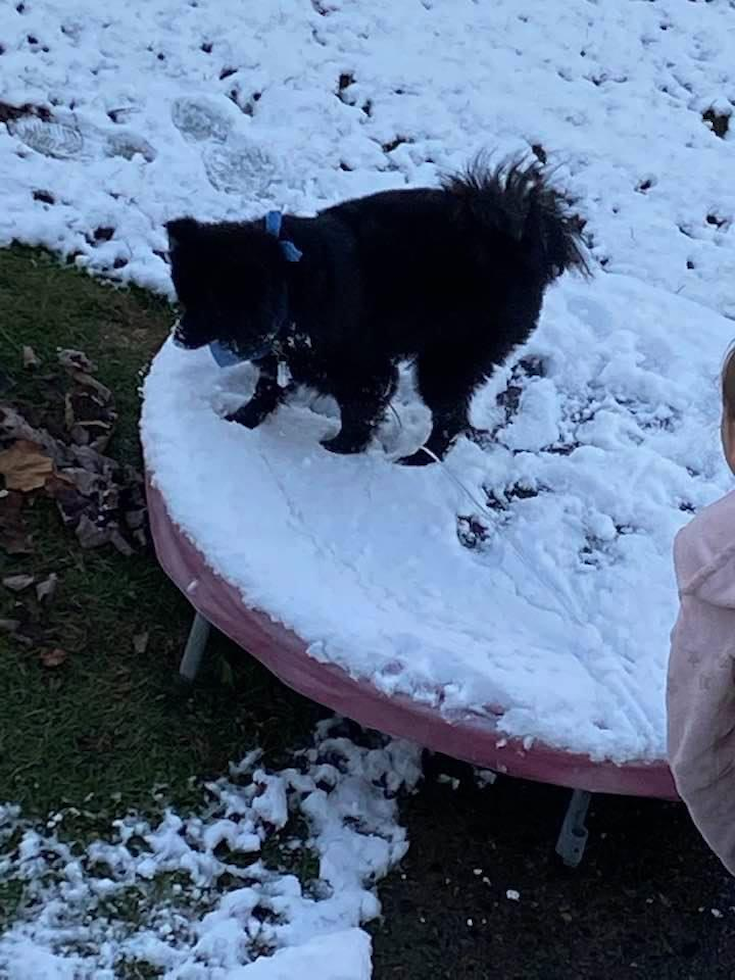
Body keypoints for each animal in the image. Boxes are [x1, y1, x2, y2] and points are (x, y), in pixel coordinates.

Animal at [165, 159, 588, 466]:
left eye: (214, 305)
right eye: (185, 299)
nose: (180, 336)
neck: (292, 287)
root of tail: (523, 245)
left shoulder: (364, 370)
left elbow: (358, 414)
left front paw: (338, 450)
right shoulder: (281, 357)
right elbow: (267, 388)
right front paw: (244, 420)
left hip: (446, 361)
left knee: (450, 419)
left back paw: (419, 459)